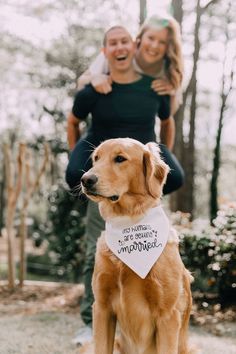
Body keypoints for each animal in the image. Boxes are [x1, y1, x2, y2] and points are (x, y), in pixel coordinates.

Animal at [80, 138, 193, 354]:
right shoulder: (102, 307)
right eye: (96, 158)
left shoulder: (168, 315)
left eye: (120, 158)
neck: (129, 221)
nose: (85, 179)